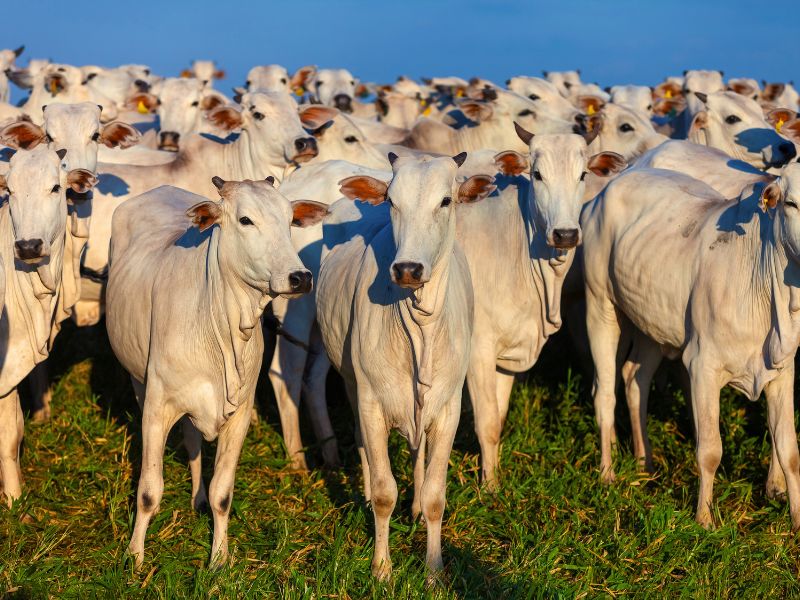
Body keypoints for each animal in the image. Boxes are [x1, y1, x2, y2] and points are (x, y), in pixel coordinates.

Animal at [107, 177, 328, 568]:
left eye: (290, 220)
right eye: (245, 220)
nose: (300, 277)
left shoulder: (239, 415)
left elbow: (221, 493)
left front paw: (219, 560)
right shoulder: (156, 409)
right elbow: (148, 491)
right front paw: (134, 556)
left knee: (193, 441)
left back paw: (196, 498)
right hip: (138, 380)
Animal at [318, 152, 494, 580]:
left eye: (446, 201)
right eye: (392, 202)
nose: (408, 269)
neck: (420, 329)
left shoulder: (448, 408)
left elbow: (434, 496)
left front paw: (433, 571)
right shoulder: (370, 401)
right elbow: (385, 492)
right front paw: (381, 568)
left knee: (419, 453)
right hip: (350, 382)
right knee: (364, 448)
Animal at [584, 162, 800, 528]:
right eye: (791, 203)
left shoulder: (782, 372)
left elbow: (789, 451)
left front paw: (796, 520)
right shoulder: (702, 366)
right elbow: (710, 449)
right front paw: (704, 519)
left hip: (651, 320)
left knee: (634, 378)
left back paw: (645, 462)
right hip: (600, 305)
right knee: (605, 393)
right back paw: (607, 474)